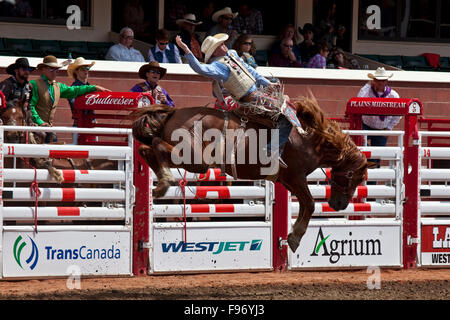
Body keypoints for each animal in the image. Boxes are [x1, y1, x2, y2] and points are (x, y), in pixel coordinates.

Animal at [132, 95, 370, 252]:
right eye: (354, 177)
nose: (340, 205)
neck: (310, 137)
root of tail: (174, 112)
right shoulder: (296, 177)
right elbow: (310, 204)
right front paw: (294, 238)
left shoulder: (287, 180)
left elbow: (304, 205)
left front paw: (293, 235)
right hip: (196, 160)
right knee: (155, 145)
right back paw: (165, 181)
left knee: (146, 148)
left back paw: (160, 183)